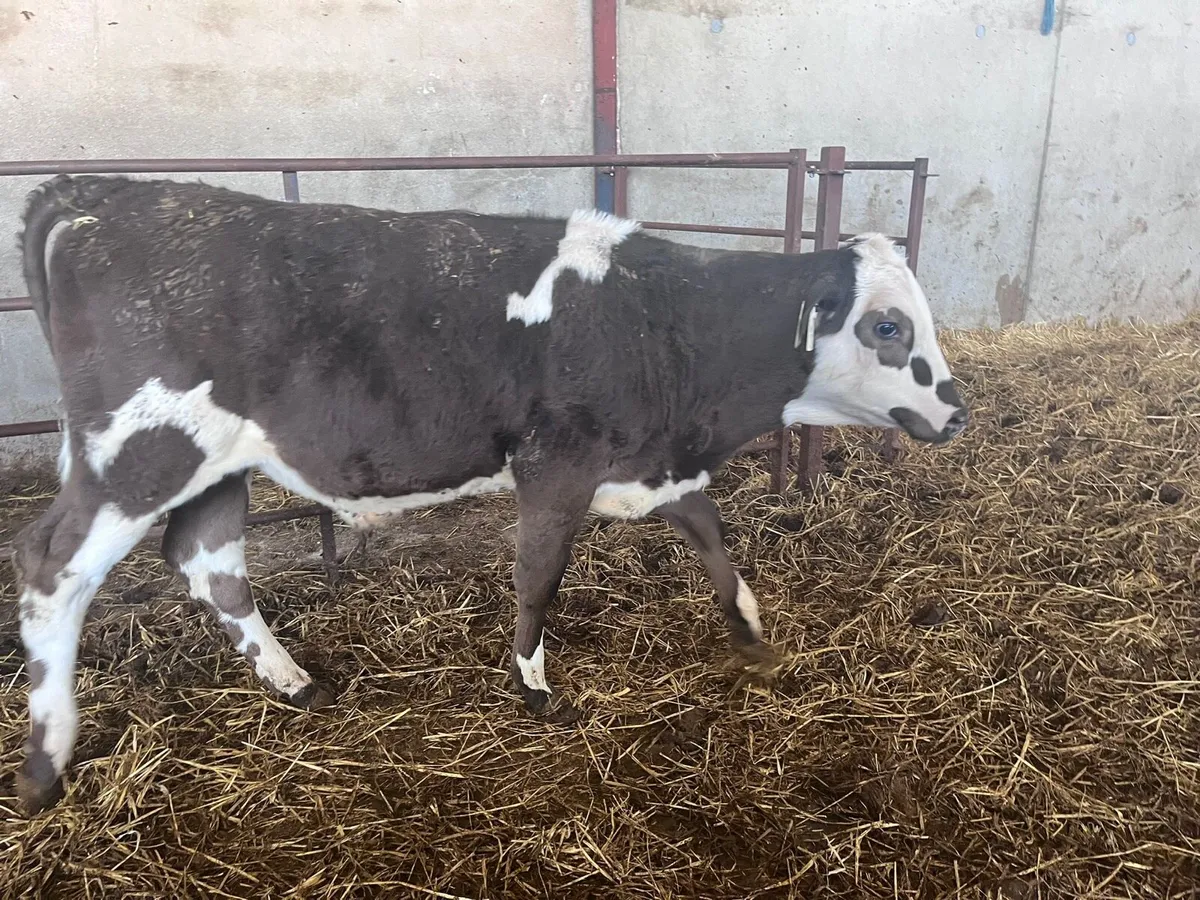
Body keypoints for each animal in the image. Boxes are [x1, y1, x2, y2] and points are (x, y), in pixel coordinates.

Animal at [11, 174, 968, 813]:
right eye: (888, 326)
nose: (955, 411)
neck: (664, 320)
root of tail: (95, 192)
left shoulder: (648, 463)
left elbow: (711, 537)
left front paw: (752, 633)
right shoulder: (558, 464)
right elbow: (538, 575)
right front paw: (534, 686)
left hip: (218, 464)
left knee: (206, 560)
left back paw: (294, 682)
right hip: (138, 453)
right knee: (51, 570)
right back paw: (45, 761)